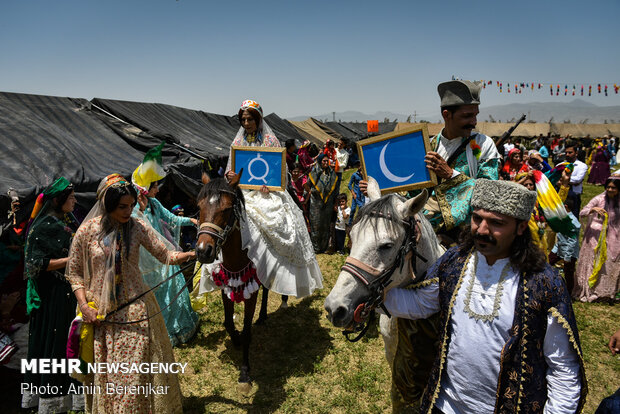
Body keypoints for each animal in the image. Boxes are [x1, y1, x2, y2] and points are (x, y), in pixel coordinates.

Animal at [196, 173, 268, 384]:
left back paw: (262, 315)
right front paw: (235, 338)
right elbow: (228, 323)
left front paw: (244, 371)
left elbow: (247, 330)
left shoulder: (252, 292)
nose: (203, 251)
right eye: (199, 207)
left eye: (227, 209)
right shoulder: (225, 287)